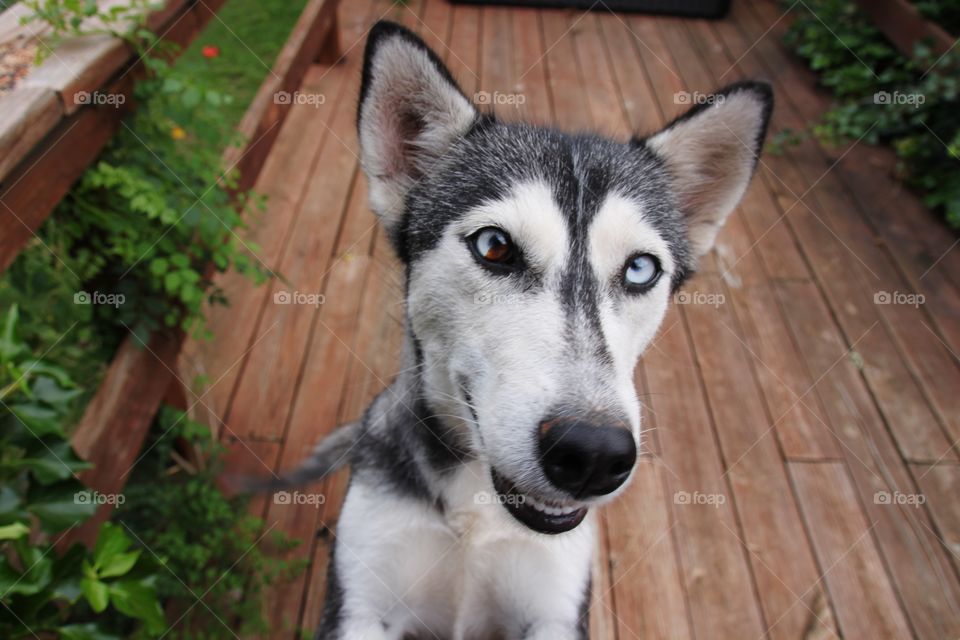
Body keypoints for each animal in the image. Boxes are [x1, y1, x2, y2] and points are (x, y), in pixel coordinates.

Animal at [268, 20, 772, 640]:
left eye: (640, 268)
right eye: (494, 246)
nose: (593, 454)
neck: (477, 508)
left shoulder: (555, 607)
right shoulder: (362, 601)